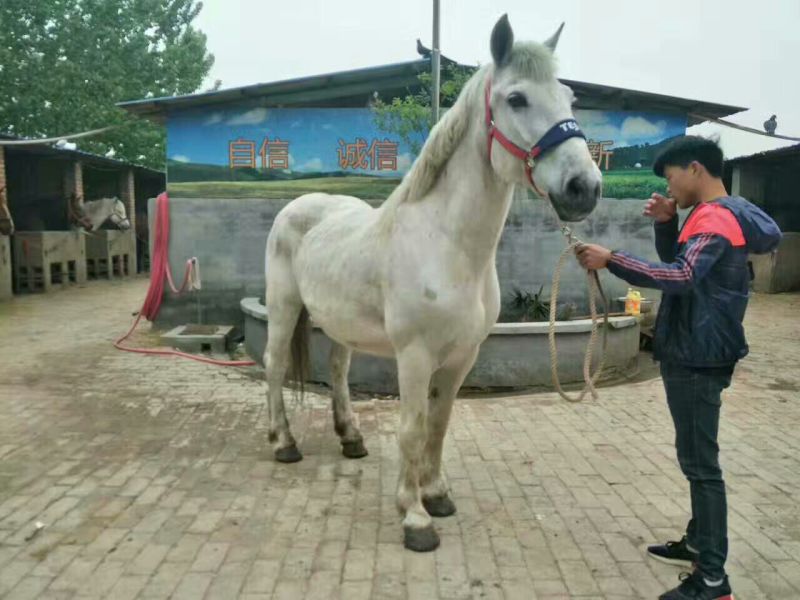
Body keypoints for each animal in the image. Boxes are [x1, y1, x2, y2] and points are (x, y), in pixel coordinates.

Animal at [263, 14, 602, 552]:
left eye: (569, 97)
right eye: (517, 98)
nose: (583, 188)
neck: (448, 245)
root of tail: (299, 206)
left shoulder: (463, 356)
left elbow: (439, 425)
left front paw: (437, 495)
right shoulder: (415, 356)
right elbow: (412, 427)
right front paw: (414, 517)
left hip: (339, 324)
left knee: (337, 371)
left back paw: (351, 438)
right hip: (283, 307)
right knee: (274, 366)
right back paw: (284, 443)